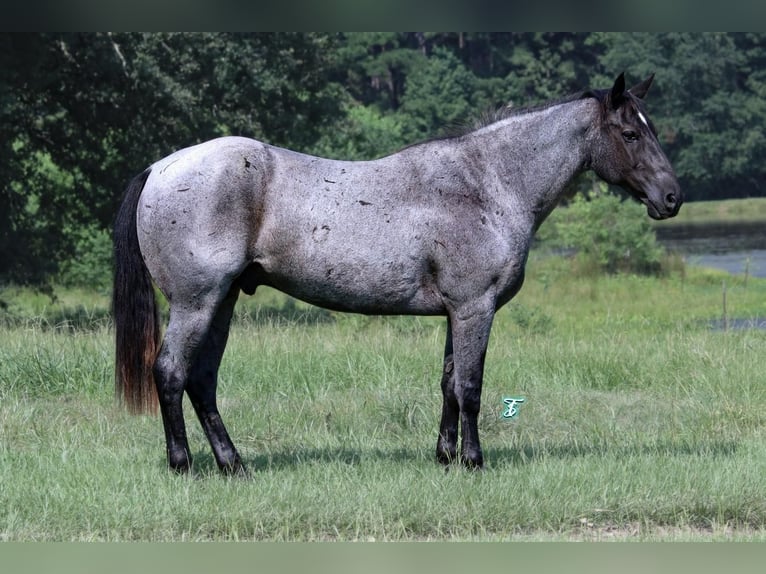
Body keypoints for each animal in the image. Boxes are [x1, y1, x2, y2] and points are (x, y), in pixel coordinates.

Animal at [112, 73, 684, 476]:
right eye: (630, 132)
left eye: (651, 128)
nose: (672, 198)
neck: (487, 183)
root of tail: (161, 167)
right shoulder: (474, 308)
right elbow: (471, 386)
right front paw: (474, 462)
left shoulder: (457, 312)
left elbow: (449, 383)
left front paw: (445, 457)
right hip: (197, 303)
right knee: (171, 373)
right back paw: (184, 466)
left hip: (224, 301)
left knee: (202, 380)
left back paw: (233, 465)